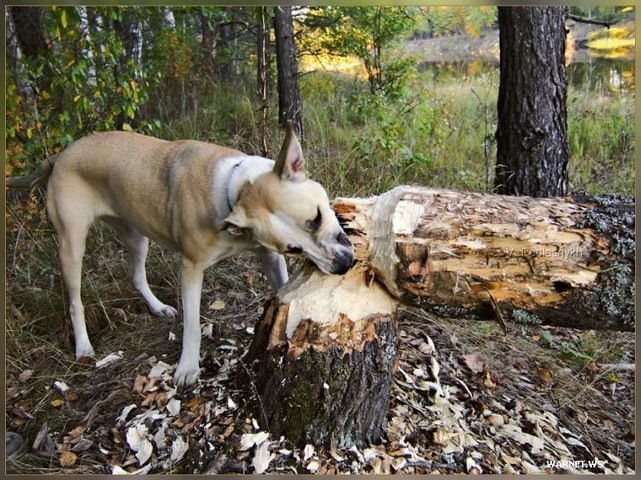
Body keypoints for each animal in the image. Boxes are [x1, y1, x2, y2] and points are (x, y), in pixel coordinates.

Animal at [6, 124, 356, 386]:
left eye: (316, 217)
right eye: (295, 246)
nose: (343, 266)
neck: (236, 190)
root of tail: (60, 155)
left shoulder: (268, 255)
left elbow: (281, 285)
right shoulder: (191, 269)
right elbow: (191, 324)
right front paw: (187, 366)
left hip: (136, 234)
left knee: (136, 275)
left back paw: (158, 308)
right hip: (71, 244)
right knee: (75, 299)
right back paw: (83, 345)